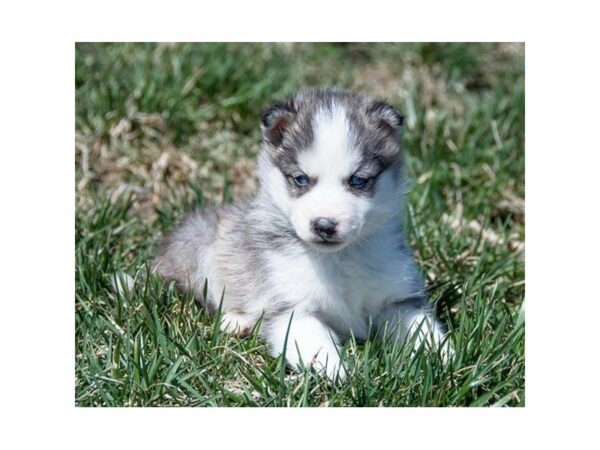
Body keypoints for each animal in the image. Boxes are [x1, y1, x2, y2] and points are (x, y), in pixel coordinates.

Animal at [155, 88, 450, 380]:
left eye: (357, 180)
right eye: (301, 179)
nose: (324, 225)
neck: (338, 260)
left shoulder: (399, 300)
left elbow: (422, 329)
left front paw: (443, 359)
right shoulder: (291, 308)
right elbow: (313, 341)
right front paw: (334, 370)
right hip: (199, 240)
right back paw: (239, 321)